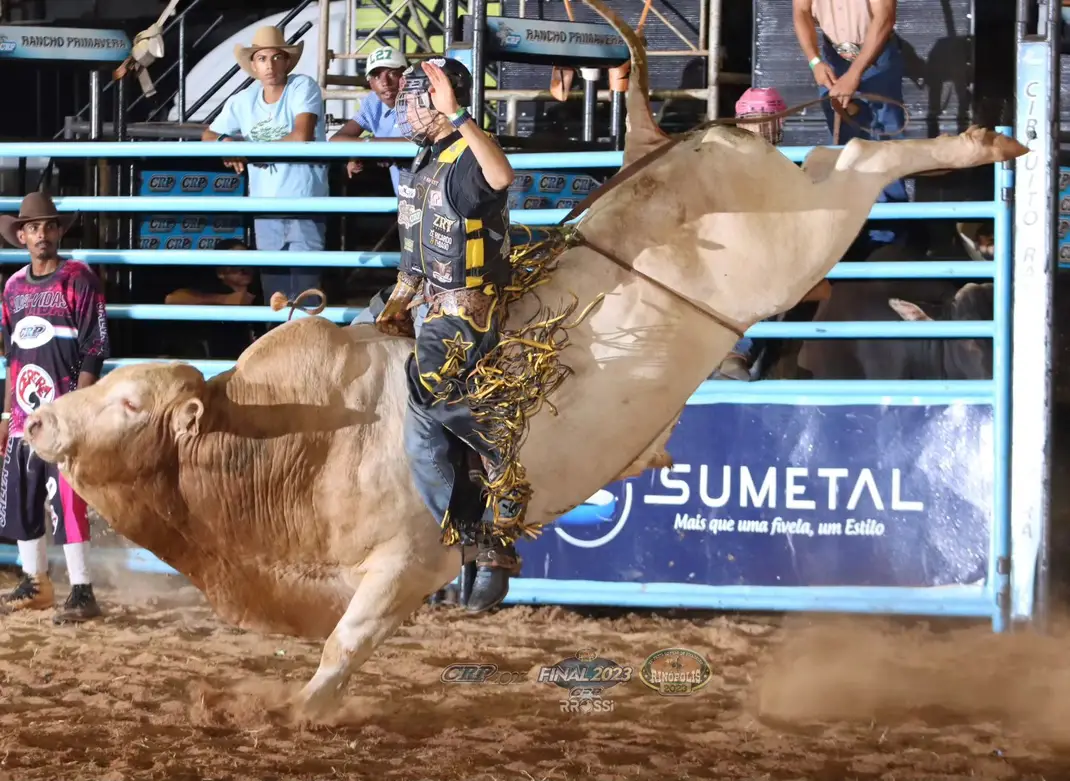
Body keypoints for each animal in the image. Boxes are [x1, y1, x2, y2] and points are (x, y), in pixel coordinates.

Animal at [18, 0, 1018, 718]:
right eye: (114, 383)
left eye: (130, 405)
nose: (35, 416)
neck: (298, 444)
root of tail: (686, 137)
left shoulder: (406, 563)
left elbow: (346, 642)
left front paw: (300, 711)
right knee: (846, 159)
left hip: (797, 238)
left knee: (861, 159)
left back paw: (980, 139)